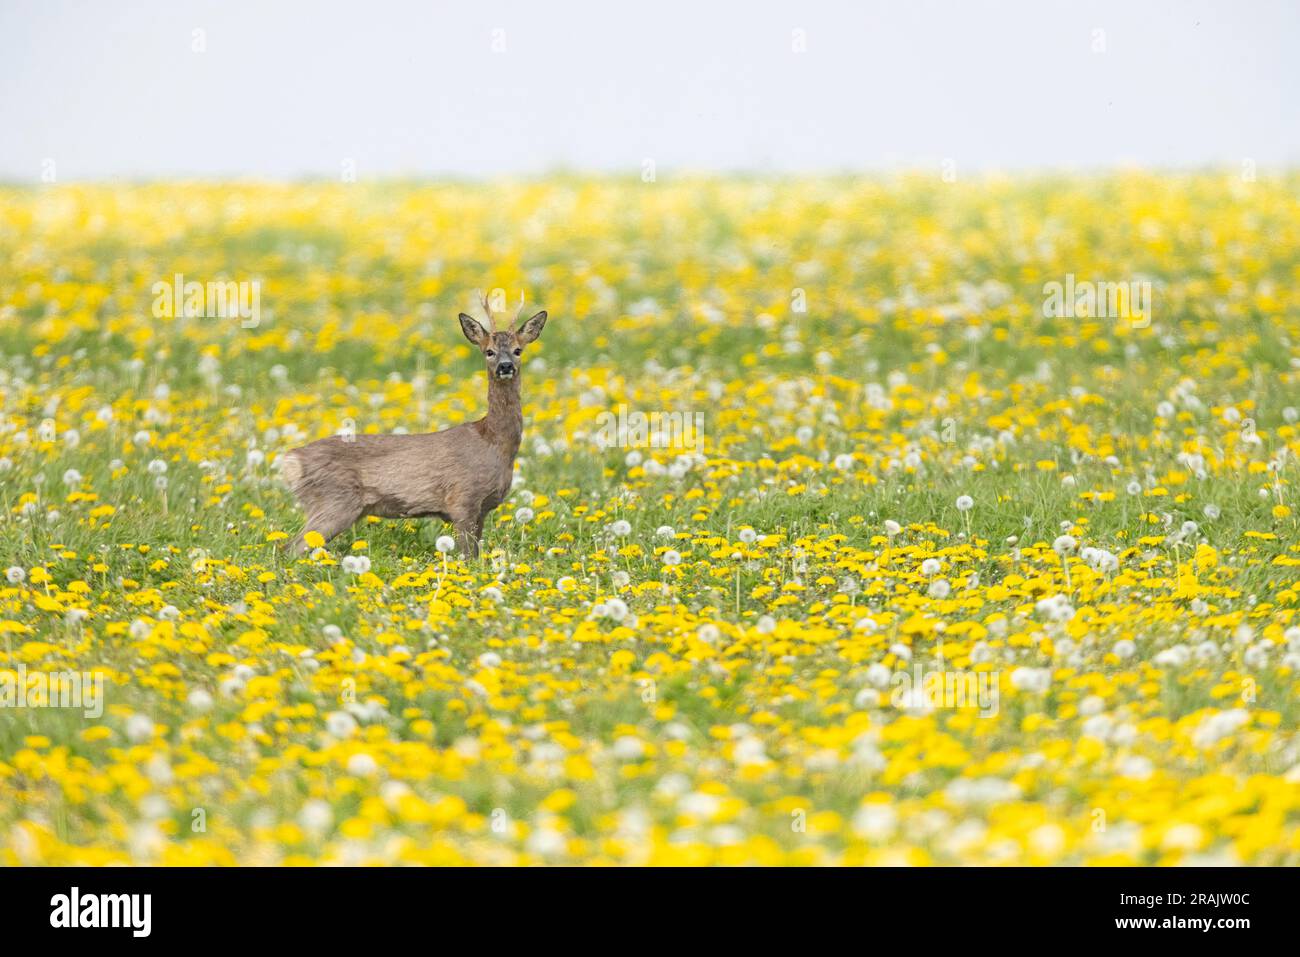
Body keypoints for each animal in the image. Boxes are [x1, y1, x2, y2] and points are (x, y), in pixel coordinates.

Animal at [280, 292, 547, 558]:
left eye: (518, 350)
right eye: (489, 351)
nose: (505, 366)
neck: (494, 443)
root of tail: (291, 459)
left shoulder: (481, 509)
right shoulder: (462, 499)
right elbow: (467, 558)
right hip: (333, 501)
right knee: (290, 549)